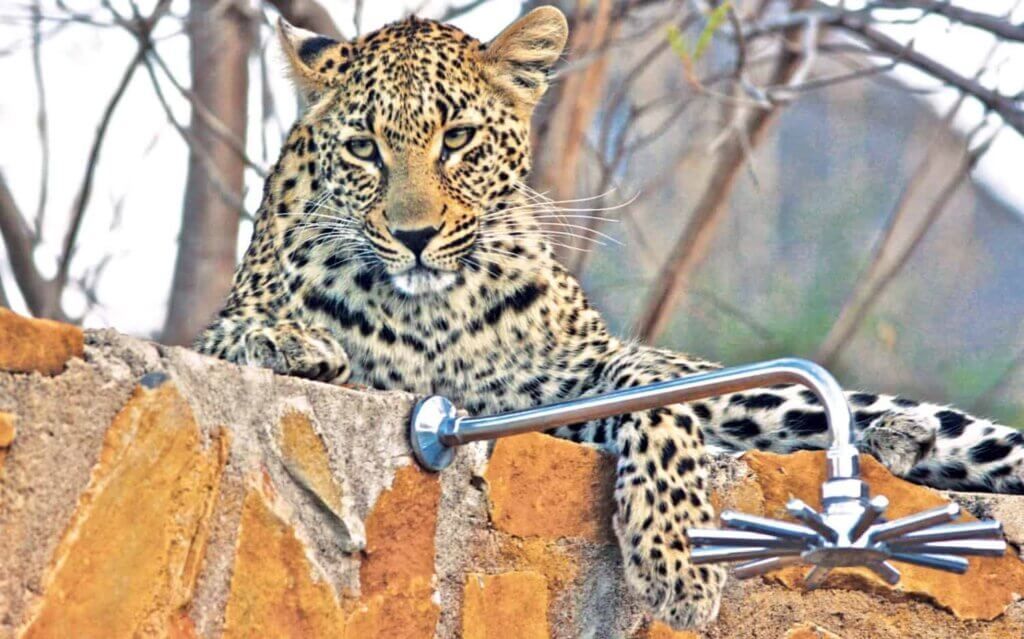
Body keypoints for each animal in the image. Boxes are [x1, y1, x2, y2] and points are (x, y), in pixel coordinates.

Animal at [195, 6, 1024, 629]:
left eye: (456, 138)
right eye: (365, 148)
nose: (416, 235)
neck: (434, 312)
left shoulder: (568, 374)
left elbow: (656, 400)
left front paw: (677, 558)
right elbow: (246, 332)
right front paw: (294, 343)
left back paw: (901, 433)